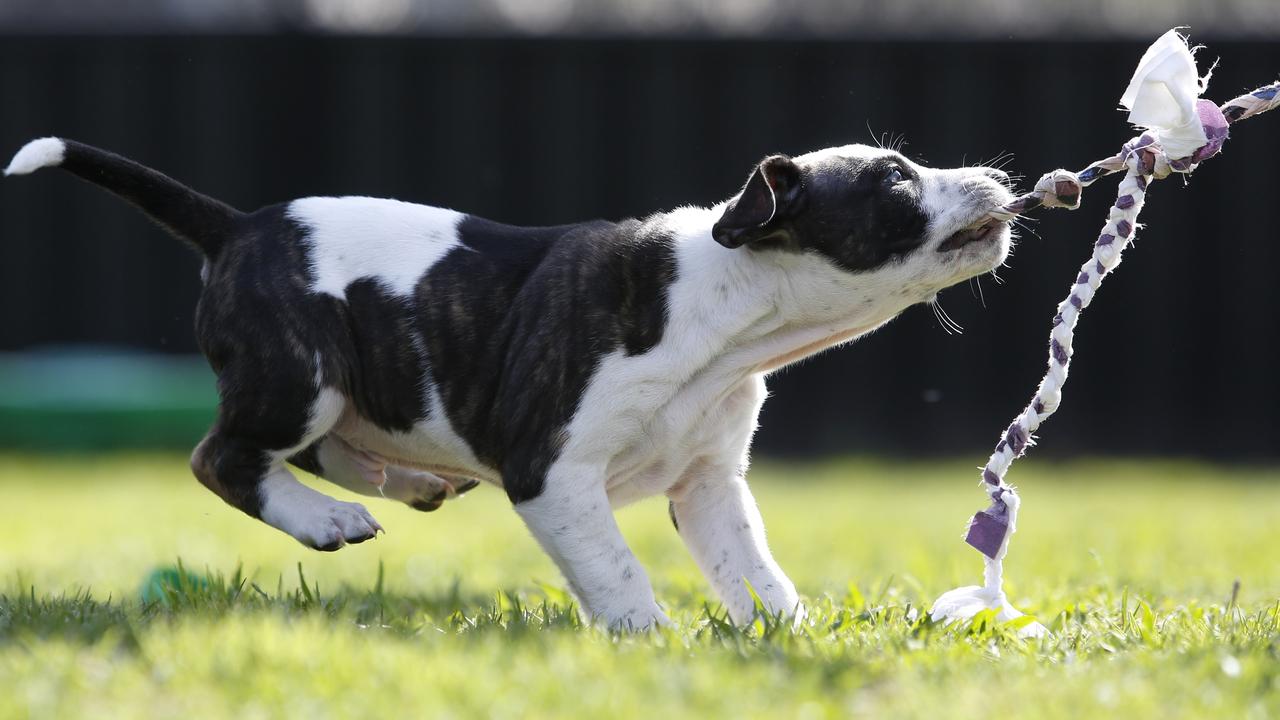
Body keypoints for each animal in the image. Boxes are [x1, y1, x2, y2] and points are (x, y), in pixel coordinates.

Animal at [5, 135, 1013, 627]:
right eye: (896, 177)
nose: (997, 176)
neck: (730, 306)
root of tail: (239, 226)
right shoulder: (555, 476)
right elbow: (616, 569)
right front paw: (648, 639)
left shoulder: (709, 484)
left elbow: (753, 571)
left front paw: (787, 634)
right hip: (300, 375)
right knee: (224, 455)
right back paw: (325, 519)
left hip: (352, 382)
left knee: (330, 445)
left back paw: (408, 476)